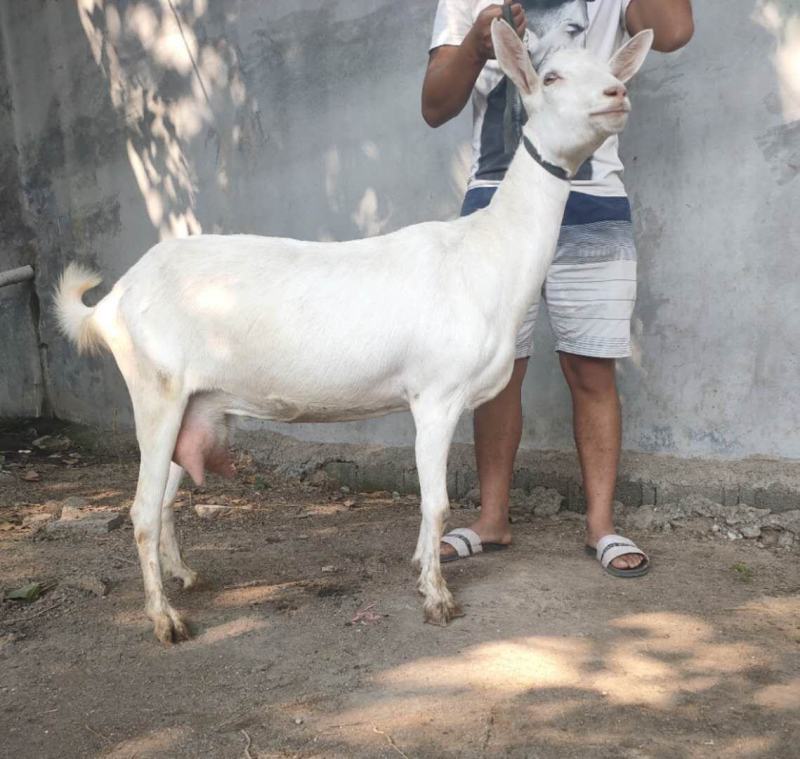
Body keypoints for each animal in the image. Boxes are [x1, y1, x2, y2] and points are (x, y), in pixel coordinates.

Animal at [57, 20, 656, 644]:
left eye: (609, 71)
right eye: (554, 76)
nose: (617, 94)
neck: (486, 253)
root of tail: (115, 299)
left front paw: (421, 568)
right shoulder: (436, 394)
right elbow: (437, 502)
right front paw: (437, 598)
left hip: (194, 403)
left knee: (166, 498)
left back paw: (184, 576)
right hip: (156, 388)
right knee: (141, 509)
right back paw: (165, 620)